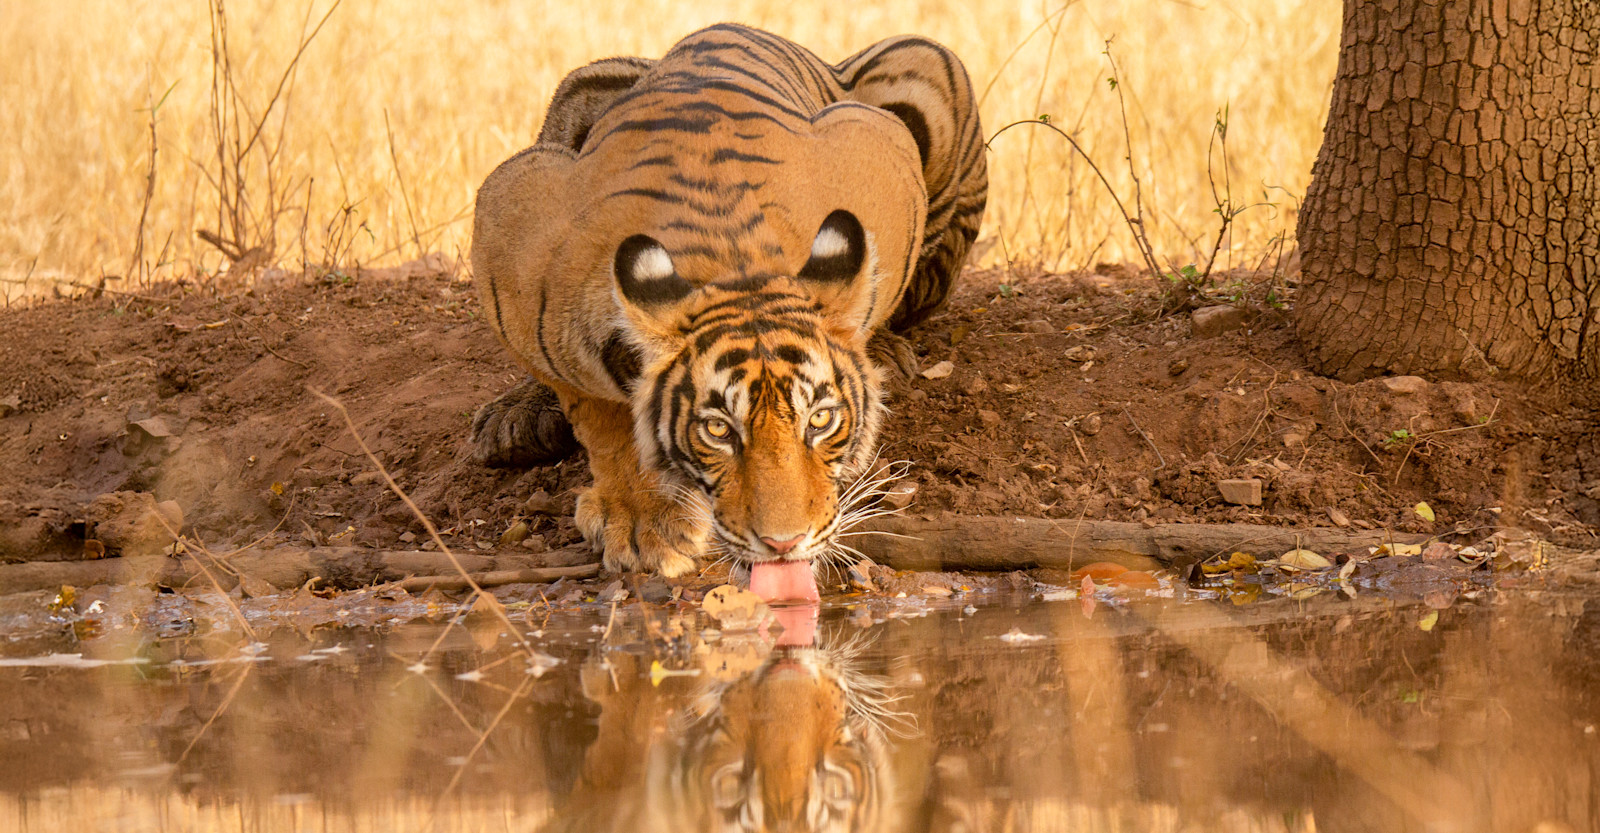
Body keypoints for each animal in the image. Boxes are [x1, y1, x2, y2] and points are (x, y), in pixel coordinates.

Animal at [470, 23, 987, 596]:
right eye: (718, 431)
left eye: (820, 421)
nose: (786, 542)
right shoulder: (510, 220)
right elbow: (599, 410)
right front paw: (646, 521)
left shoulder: (878, 143)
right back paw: (514, 419)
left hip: (927, 62)